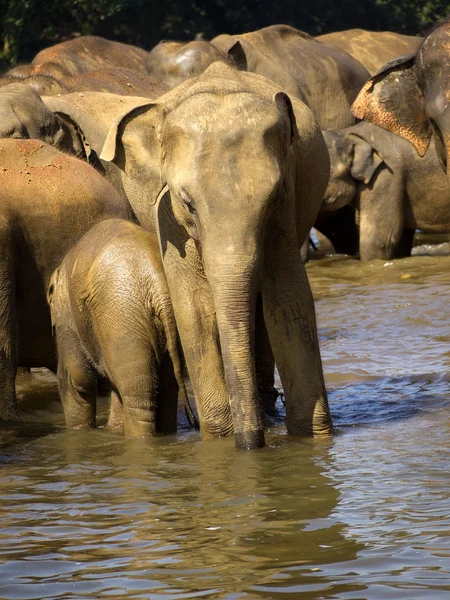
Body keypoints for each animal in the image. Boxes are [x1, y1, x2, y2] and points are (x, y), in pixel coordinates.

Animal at [47, 218, 195, 438]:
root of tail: (157, 281)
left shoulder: (67, 318)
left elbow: (76, 378)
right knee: (167, 390)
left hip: (122, 316)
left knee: (138, 396)